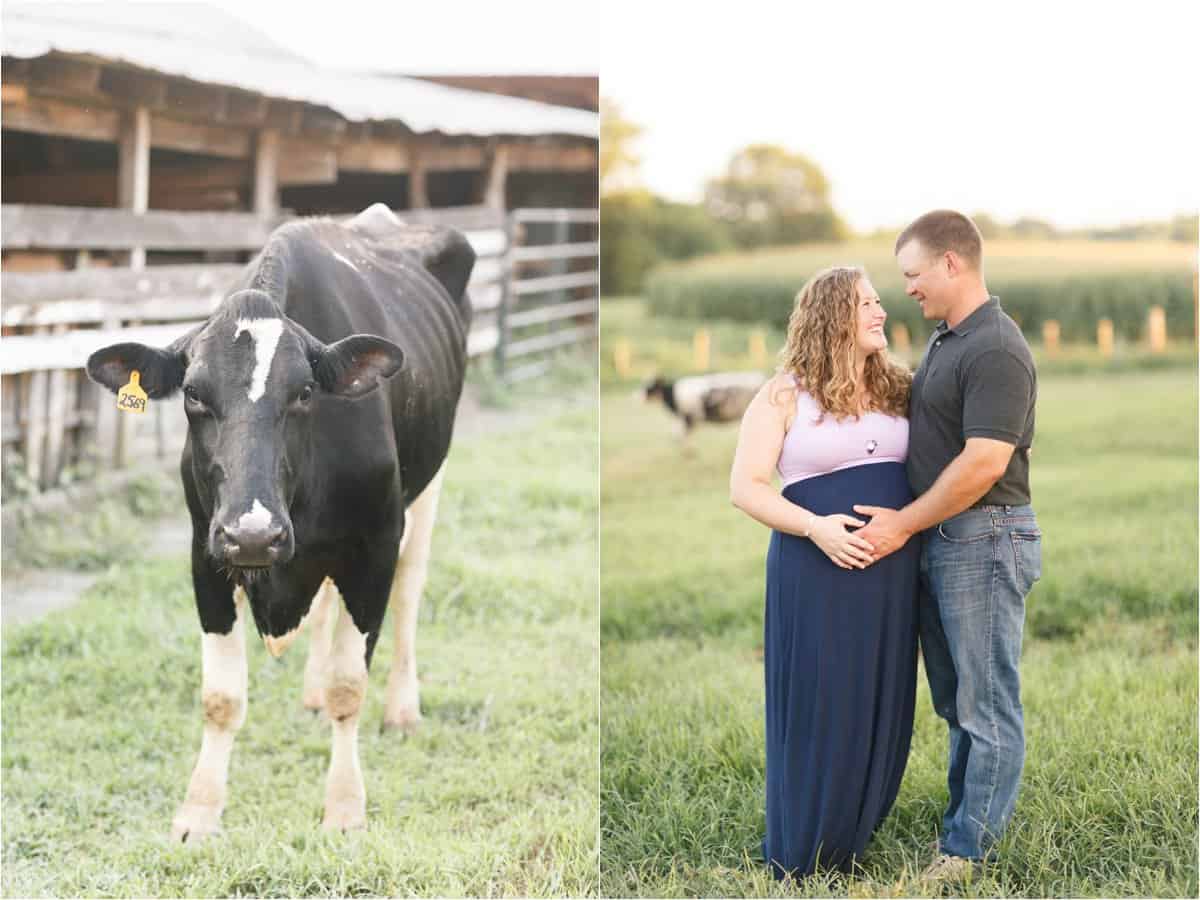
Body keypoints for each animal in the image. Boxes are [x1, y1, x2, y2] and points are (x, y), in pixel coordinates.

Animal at [87, 200, 472, 844]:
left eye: (306, 391)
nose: (253, 534)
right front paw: (199, 812)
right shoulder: (206, 549)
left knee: (410, 594)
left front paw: (344, 810)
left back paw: (402, 709)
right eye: (193, 394)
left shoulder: (373, 545)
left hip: (429, 484)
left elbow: (350, 685)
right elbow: (221, 695)